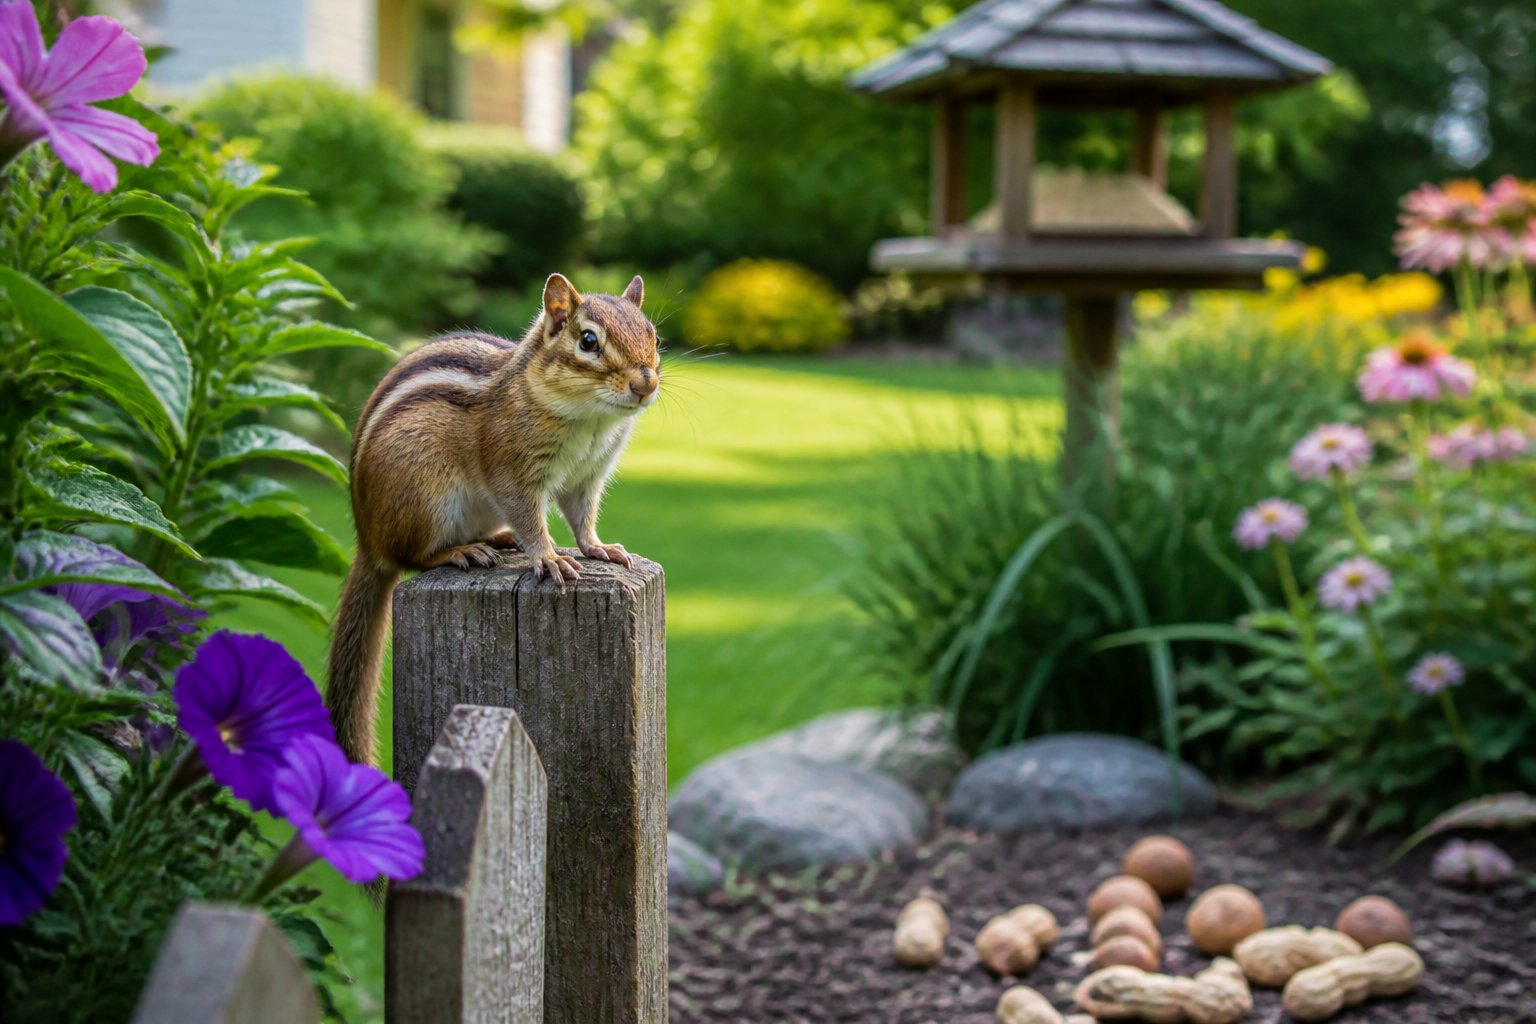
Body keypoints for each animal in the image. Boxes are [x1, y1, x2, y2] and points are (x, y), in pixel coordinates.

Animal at [325, 272, 660, 767]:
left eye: (653, 334)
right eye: (588, 341)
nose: (645, 384)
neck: (590, 419)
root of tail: (367, 541)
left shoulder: (588, 476)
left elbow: (582, 518)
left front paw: (599, 548)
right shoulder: (511, 472)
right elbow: (530, 517)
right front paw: (549, 558)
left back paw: (500, 541)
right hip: (426, 495)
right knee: (412, 556)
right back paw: (463, 551)